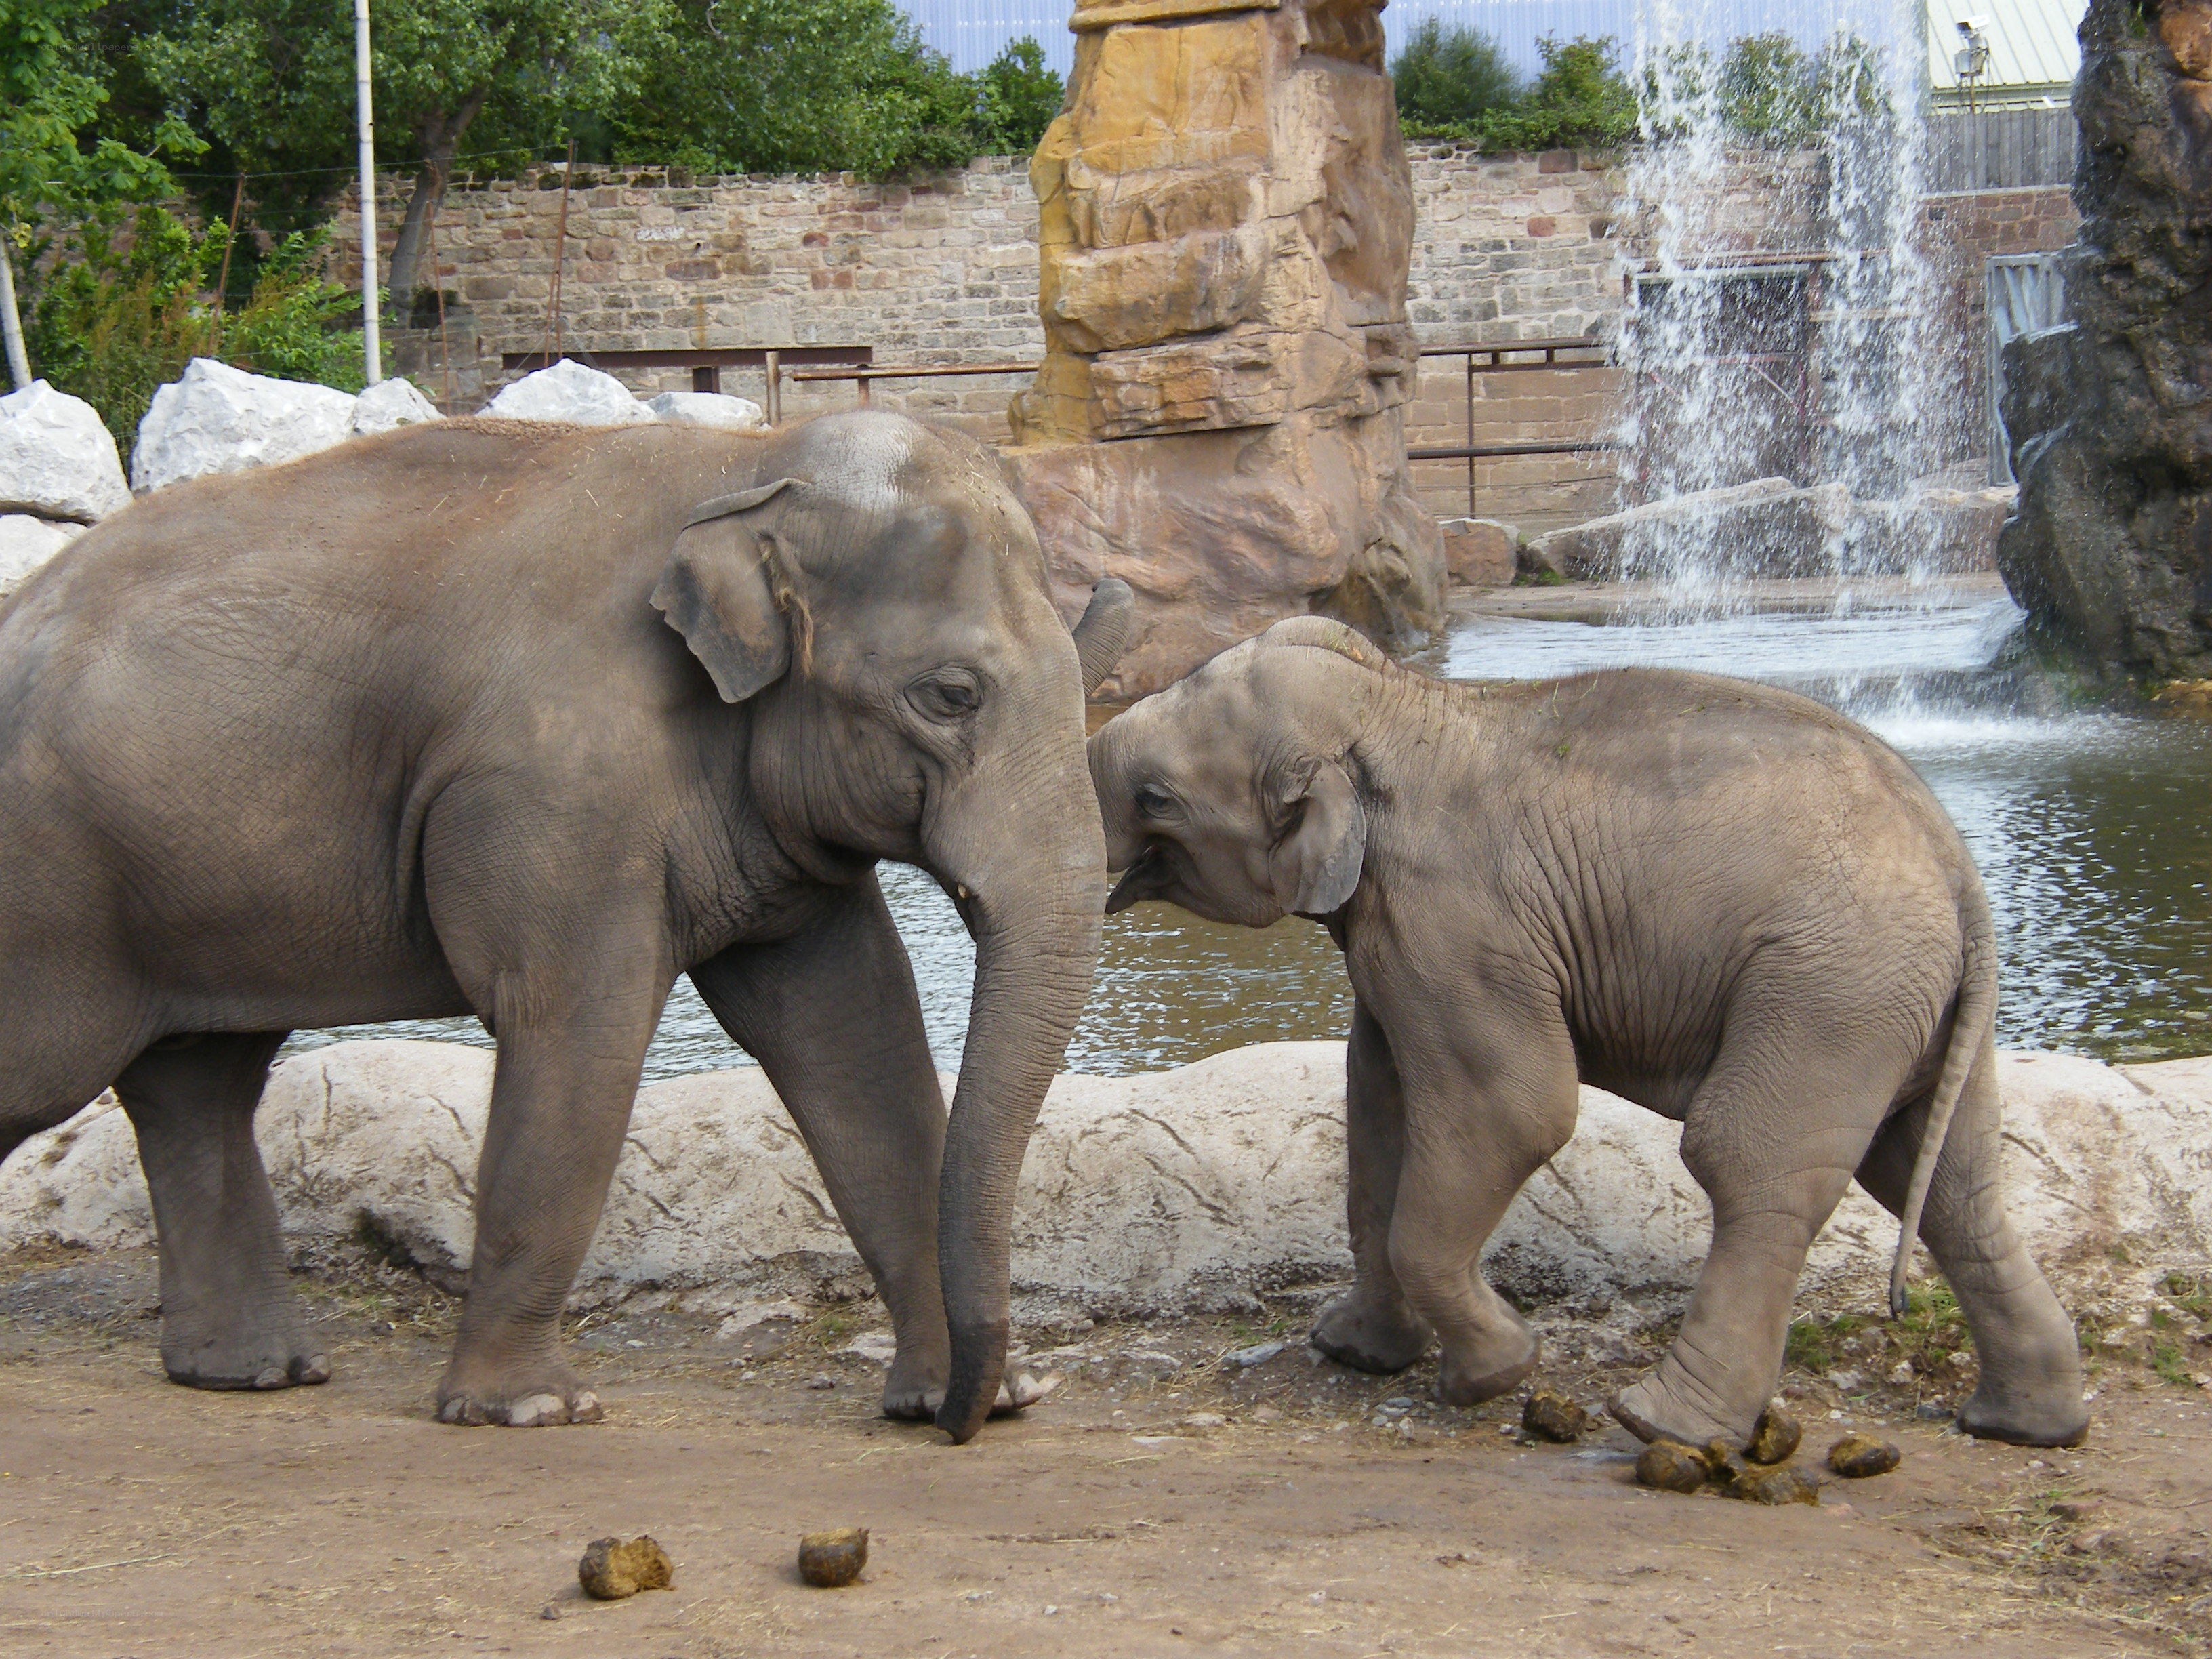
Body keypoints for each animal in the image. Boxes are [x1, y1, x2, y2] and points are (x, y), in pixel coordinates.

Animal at [0, 409, 1129, 1444]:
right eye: (951, 695)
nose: (965, 1422)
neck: (746, 463)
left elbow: (856, 1034)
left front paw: (985, 1398)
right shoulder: (552, 787)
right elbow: (581, 1028)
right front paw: (530, 1409)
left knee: (197, 1083)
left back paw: (251, 1375)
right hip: (53, 888)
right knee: (64, 1073)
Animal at [1087, 616, 2088, 1452]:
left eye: (1156, 798)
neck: (1402, 703)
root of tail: (1957, 869)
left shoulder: (1455, 922)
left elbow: (1512, 1110)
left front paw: (1495, 1375)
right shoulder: (1398, 937)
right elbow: (1378, 1113)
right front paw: (1354, 1352)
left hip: (1830, 985)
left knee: (1751, 1160)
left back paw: (1660, 1425)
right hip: (1904, 1004)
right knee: (1946, 1175)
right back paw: (2026, 1426)